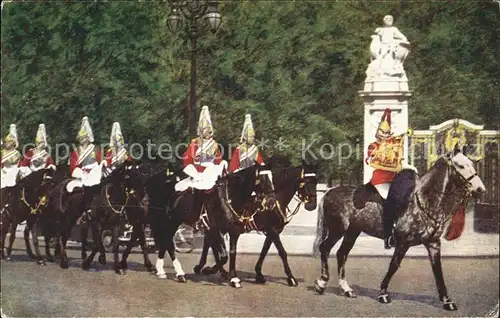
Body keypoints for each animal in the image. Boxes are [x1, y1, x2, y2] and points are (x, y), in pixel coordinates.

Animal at [314, 148, 486, 310]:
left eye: (471, 163)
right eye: (461, 166)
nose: (480, 189)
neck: (425, 202)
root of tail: (329, 191)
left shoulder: (433, 244)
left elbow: (438, 271)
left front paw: (447, 301)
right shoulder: (403, 242)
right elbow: (394, 265)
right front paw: (383, 293)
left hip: (352, 231)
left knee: (341, 253)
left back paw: (346, 289)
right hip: (338, 229)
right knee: (325, 248)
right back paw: (321, 284)